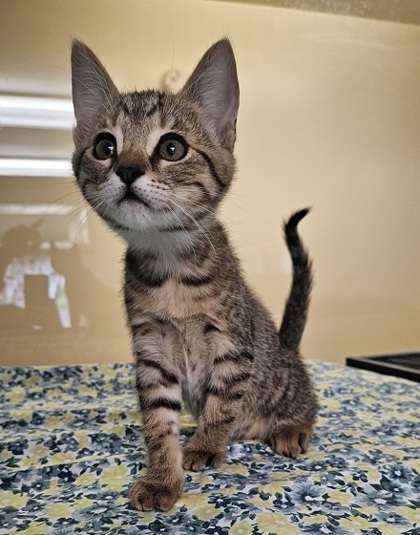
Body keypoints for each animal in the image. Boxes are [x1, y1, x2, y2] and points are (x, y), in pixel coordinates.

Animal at [70, 39, 316, 512]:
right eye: (105, 147)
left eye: (171, 149)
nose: (127, 169)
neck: (171, 269)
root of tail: (286, 347)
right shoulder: (151, 351)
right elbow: (157, 421)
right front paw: (163, 476)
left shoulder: (234, 345)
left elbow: (222, 404)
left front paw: (204, 445)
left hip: (280, 379)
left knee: (306, 400)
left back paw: (291, 427)